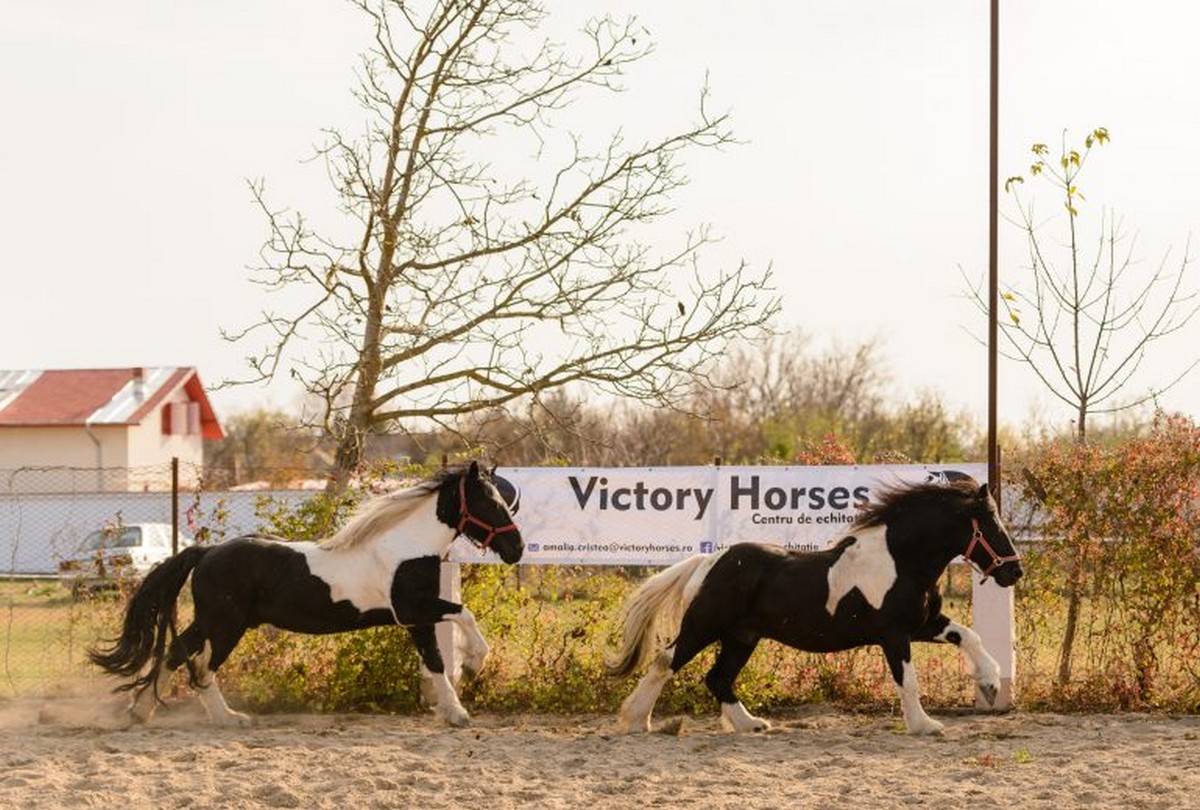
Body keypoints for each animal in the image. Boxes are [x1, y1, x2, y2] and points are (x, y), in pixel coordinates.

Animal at [89, 461, 523, 728]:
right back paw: (230, 719)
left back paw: (140, 712)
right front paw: (471, 673)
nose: (516, 549)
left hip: (212, 621)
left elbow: (435, 660)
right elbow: (462, 618)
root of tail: (206, 552)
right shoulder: (415, 609)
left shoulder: (417, 620)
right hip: (226, 626)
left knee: (176, 654)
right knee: (201, 668)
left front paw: (453, 709)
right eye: (489, 502)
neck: (405, 546)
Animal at [606, 478, 1022, 735]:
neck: (900, 560)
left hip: (742, 637)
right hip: (703, 626)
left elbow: (969, 636)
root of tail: (709, 562)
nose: (1014, 571)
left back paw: (751, 724)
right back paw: (637, 720)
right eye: (991, 523)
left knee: (718, 678)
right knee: (666, 660)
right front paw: (925, 725)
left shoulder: (924, 623)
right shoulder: (894, 635)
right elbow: (908, 679)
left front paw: (989, 685)